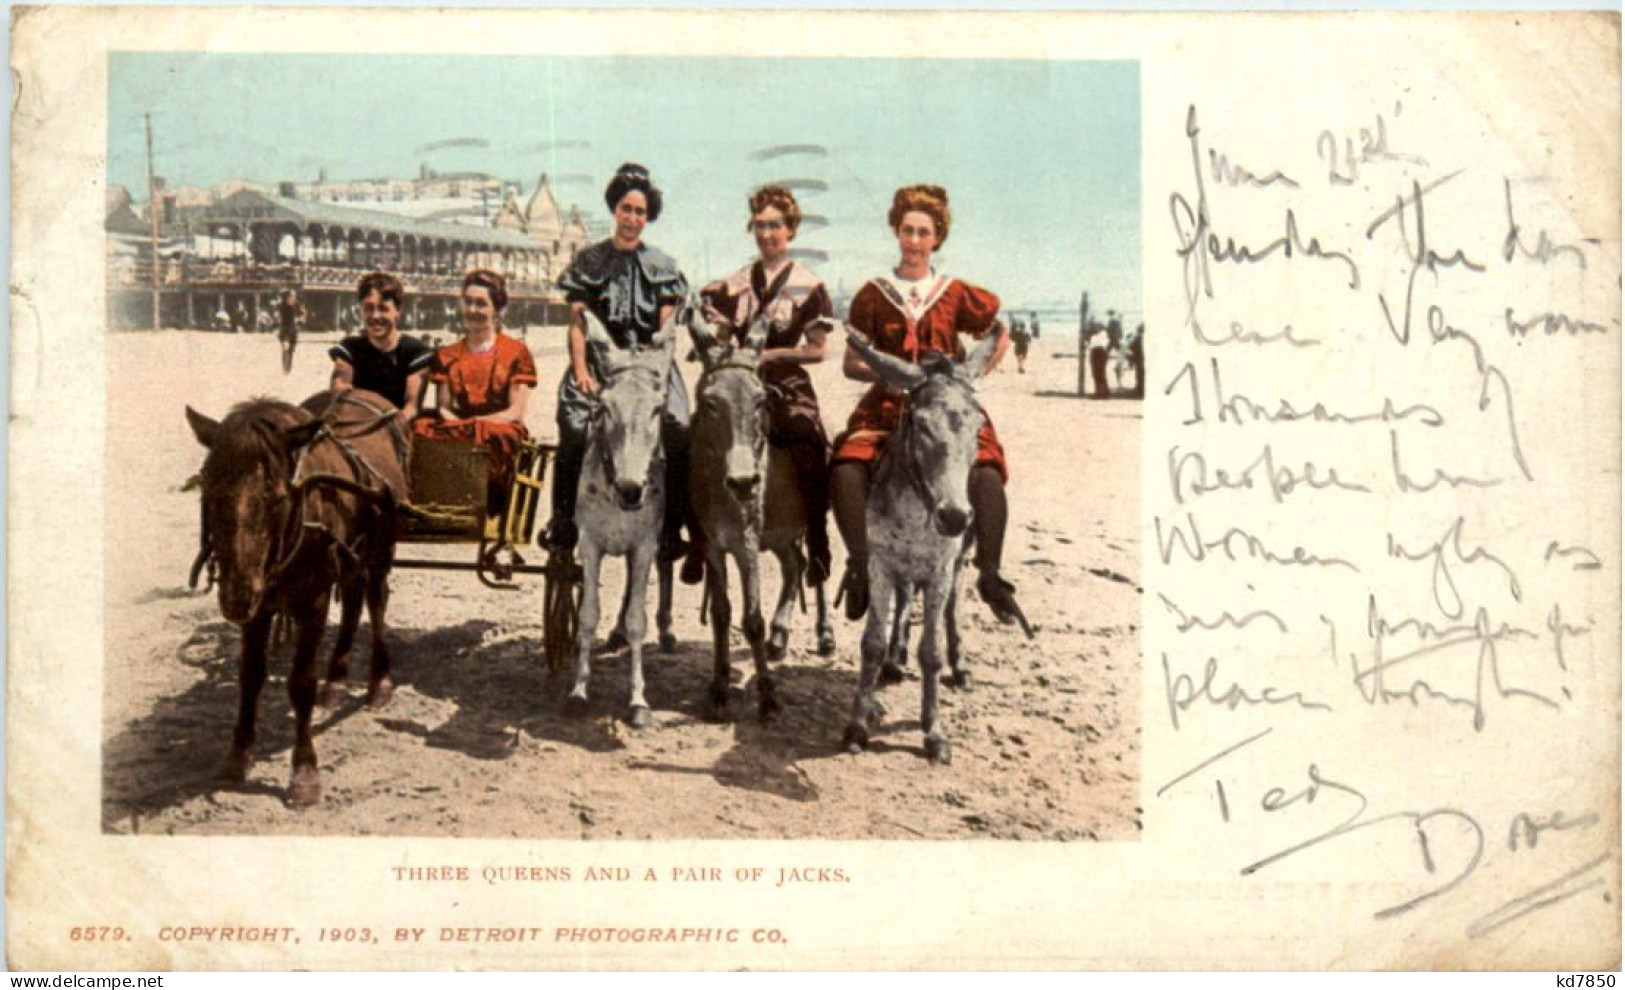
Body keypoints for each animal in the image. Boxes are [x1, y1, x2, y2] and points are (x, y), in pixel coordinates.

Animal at [185, 386, 409, 803]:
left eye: (275, 496)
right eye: (210, 489)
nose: (237, 594)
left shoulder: (313, 601)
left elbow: (301, 682)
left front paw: (304, 771)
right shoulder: (258, 607)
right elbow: (250, 676)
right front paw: (238, 755)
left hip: (381, 547)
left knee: (375, 601)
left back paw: (379, 683)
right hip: (350, 554)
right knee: (353, 600)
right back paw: (336, 683)